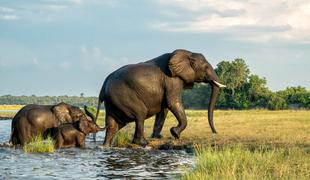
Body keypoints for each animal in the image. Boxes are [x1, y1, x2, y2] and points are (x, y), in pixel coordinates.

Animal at [93, 48, 226, 146]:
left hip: (113, 101)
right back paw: (143, 143)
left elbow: (164, 108)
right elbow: (173, 103)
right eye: (206, 67)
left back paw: (106, 146)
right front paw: (175, 134)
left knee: (113, 125)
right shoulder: (172, 80)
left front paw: (158, 137)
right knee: (140, 114)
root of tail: (103, 86)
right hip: (123, 96)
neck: (188, 53)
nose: (215, 132)